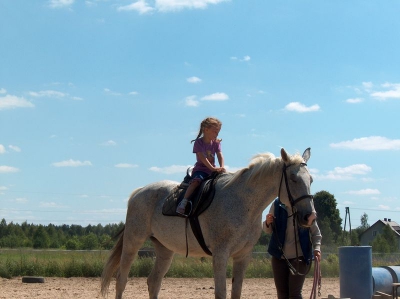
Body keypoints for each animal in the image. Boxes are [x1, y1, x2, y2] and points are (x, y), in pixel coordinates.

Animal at [100, 148, 316, 299]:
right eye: (293, 178)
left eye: (311, 179)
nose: (309, 217)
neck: (242, 202)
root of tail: (139, 191)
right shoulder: (220, 255)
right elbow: (220, 293)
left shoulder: (243, 257)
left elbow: (236, 293)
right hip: (133, 243)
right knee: (121, 280)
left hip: (164, 249)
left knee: (153, 282)